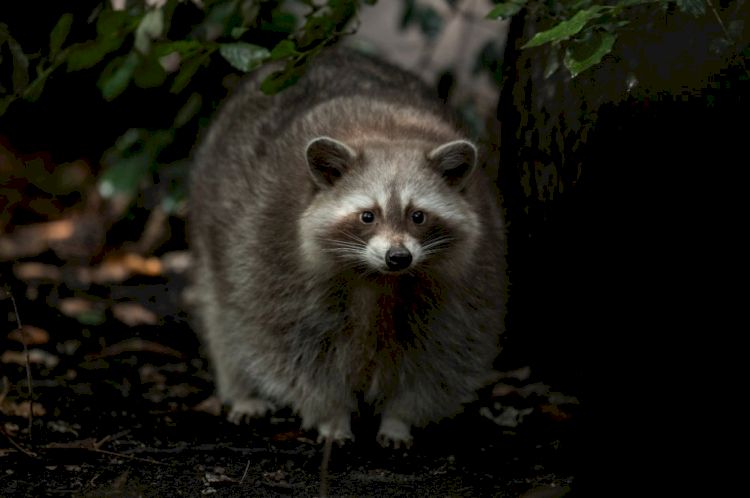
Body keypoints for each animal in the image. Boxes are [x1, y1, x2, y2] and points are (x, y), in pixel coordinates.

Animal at [188, 47, 508, 448]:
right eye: (367, 216)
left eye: (418, 216)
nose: (398, 257)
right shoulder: (269, 254)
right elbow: (289, 347)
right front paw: (332, 414)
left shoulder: (469, 279)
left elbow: (443, 354)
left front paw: (399, 418)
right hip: (214, 225)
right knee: (223, 317)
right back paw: (240, 390)